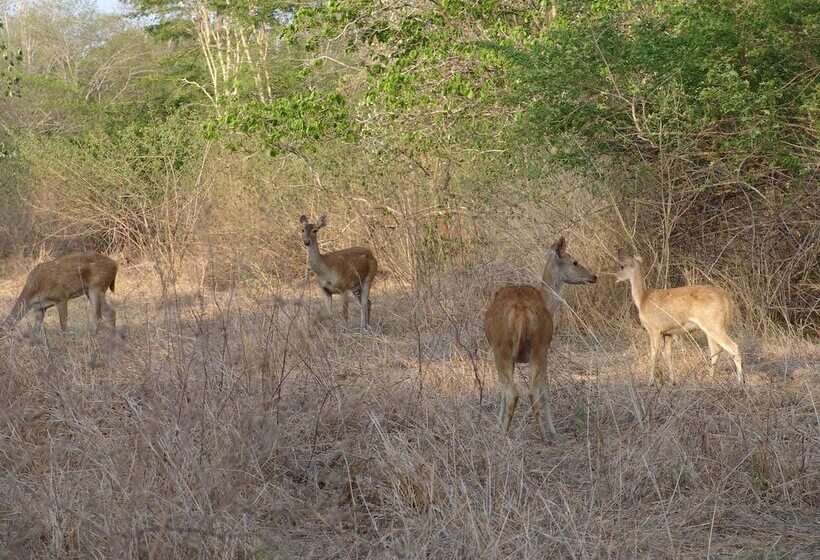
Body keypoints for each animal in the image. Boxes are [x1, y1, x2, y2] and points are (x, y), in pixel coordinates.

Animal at [484, 236, 600, 442]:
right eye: (574, 262)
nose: (593, 276)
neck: (547, 302)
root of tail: (520, 311)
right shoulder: (544, 349)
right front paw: (553, 430)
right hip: (534, 346)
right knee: (526, 391)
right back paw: (536, 434)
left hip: (509, 349)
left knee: (517, 391)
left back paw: (518, 434)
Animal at [616, 249, 744, 384]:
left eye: (622, 266)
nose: (616, 276)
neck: (642, 300)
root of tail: (727, 298)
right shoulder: (668, 332)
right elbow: (668, 354)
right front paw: (672, 381)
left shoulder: (654, 328)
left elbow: (654, 353)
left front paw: (650, 382)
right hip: (711, 327)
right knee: (715, 350)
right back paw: (709, 379)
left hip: (714, 325)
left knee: (733, 347)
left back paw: (740, 382)